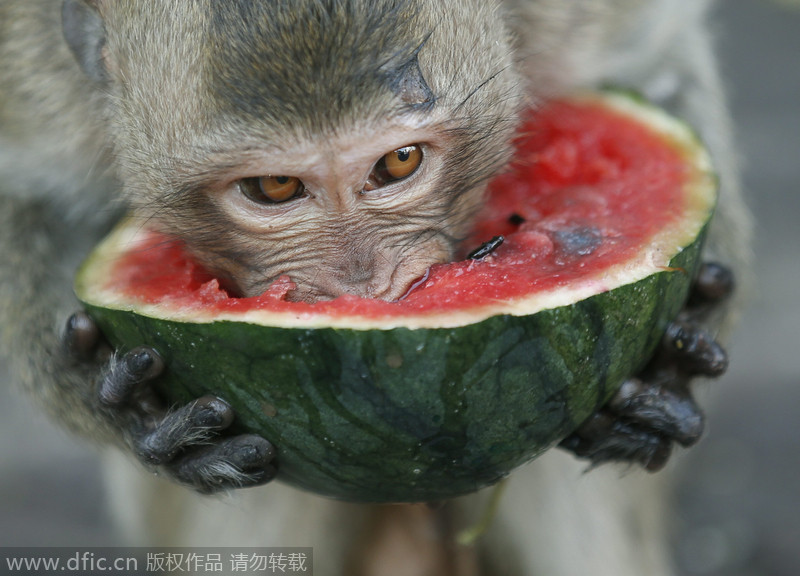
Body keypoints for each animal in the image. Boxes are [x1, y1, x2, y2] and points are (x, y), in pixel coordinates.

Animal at [0, 1, 752, 576]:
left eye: (399, 162)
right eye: (274, 187)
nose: (362, 286)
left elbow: (654, 52)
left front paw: (673, 362)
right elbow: (26, 192)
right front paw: (127, 408)